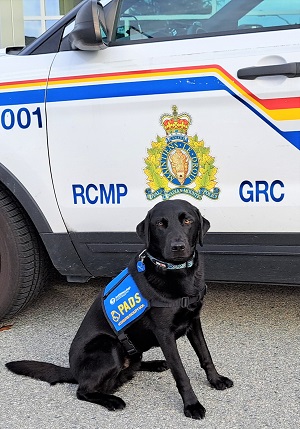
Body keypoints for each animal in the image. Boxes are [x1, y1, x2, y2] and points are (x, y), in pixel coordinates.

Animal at [5, 200, 233, 418]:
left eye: (187, 221)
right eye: (160, 224)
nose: (178, 247)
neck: (178, 274)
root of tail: (73, 371)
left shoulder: (193, 321)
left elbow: (205, 355)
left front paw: (216, 379)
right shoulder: (164, 334)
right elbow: (181, 373)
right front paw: (192, 405)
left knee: (133, 365)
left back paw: (155, 364)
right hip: (109, 347)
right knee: (83, 390)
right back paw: (112, 400)